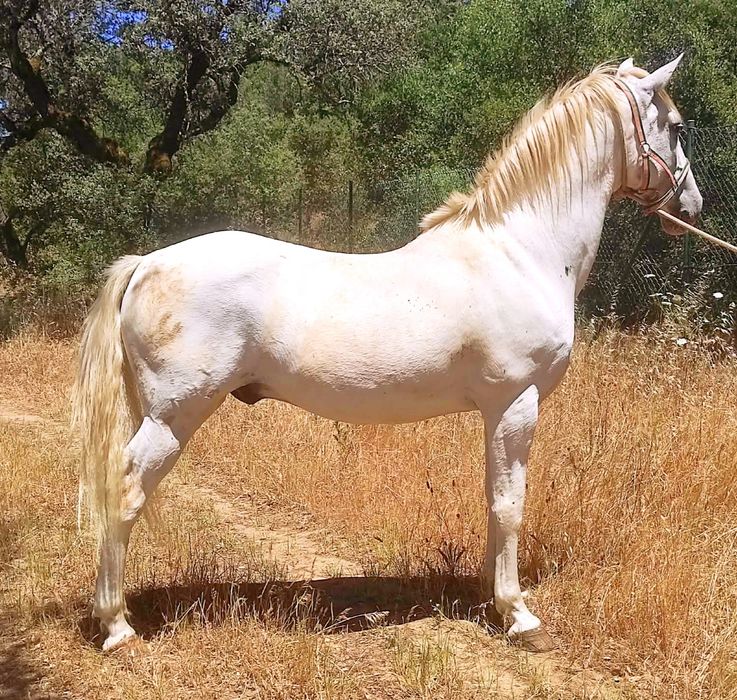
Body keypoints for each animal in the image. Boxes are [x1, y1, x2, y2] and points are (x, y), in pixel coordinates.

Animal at [73, 55, 702, 652]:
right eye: (675, 126)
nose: (693, 206)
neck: (520, 251)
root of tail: (147, 264)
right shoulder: (516, 404)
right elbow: (510, 505)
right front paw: (518, 615)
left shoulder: (495, 413)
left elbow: (491, 499)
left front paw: (489, 597)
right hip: (173, 416)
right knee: (123, 491)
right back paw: (117, 626)